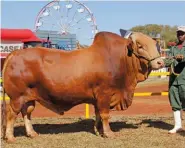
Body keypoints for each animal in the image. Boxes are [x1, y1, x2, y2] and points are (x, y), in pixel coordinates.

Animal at [1, 30, 163, 142]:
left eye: (155, 45)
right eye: (140, 46)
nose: (160, 62)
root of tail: (14, 53)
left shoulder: (97, 98)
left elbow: (98, 115)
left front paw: (98, 131)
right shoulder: (104, 94)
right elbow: (105, 115)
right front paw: (108, 133)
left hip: (28, 98)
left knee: (26, 113)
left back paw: (32, 133)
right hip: (16, 97)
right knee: (11, 114)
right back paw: (10, 137)